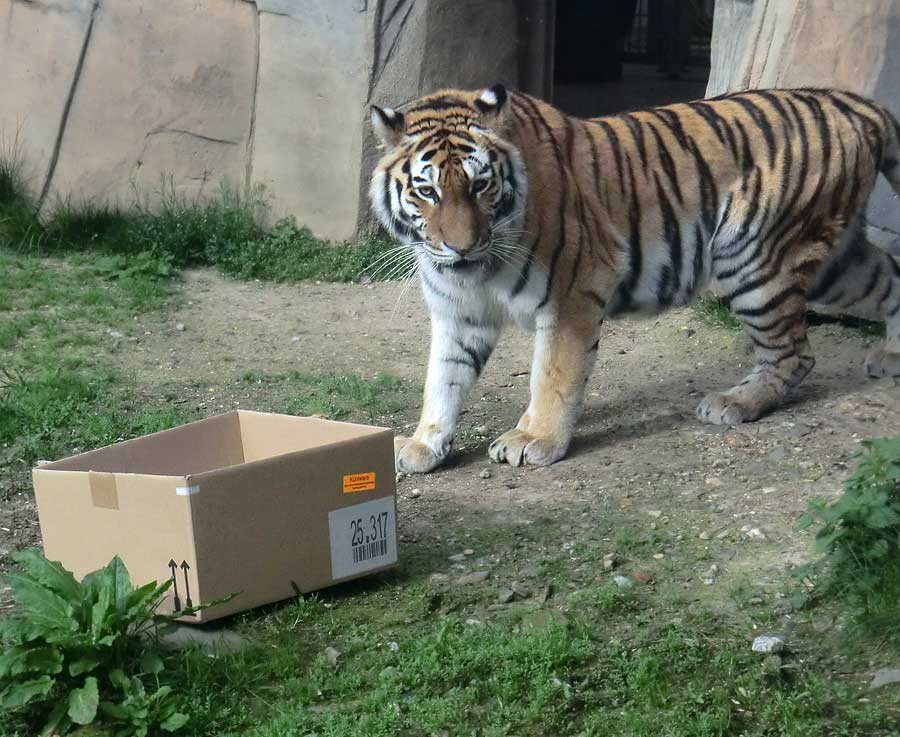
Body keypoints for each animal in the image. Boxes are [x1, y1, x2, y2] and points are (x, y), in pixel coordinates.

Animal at [368, 82, 900, 472]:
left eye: (480, 185)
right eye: (427, 192)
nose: (461, 246)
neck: (477, 272)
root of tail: (859, 103)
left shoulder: (572, 292)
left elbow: (553, 375)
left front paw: (535, 438)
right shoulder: (458, 313)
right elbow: (443, 378)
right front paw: (423, 445)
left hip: (756, 256)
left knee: (794, 354)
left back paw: (734, 402)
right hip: (832, 263)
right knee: (889, 274)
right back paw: (892, 356)